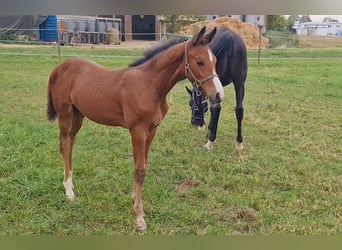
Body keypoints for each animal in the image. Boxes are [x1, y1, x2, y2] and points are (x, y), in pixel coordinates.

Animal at [47, 26, 224, 230]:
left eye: (215, 61)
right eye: (200, 61)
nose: (219, 95)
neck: (150, 85)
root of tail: (59, 67)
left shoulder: (152, 130)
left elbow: (142, 165)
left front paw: (135, 203)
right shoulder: (137, 130)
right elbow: (139, 171)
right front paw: (139, 217)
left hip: (78, 116)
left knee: (69, 144)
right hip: (65, 114)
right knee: (66, 145)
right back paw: (69, 191)